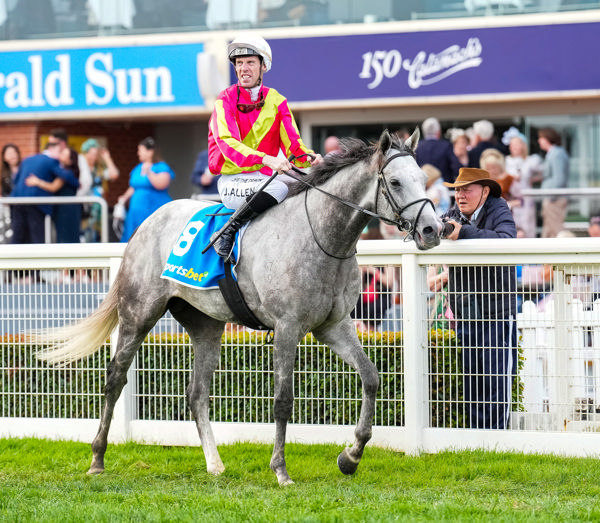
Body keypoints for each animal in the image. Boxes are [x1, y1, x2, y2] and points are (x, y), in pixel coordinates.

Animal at [37, 130, 440, 488]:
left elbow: (371, 377)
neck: (322, 238)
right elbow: (283, 400)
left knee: (196, 392)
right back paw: (97, 459)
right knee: (114, 378)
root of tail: (146, 222)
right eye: (395, 181)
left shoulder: (333, 325)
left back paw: (215, 464)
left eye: (423, 179)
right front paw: (281, 470)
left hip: (205, 325)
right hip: (139, 313)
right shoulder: (288, 327)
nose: (433, 230)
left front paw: (351, 456)